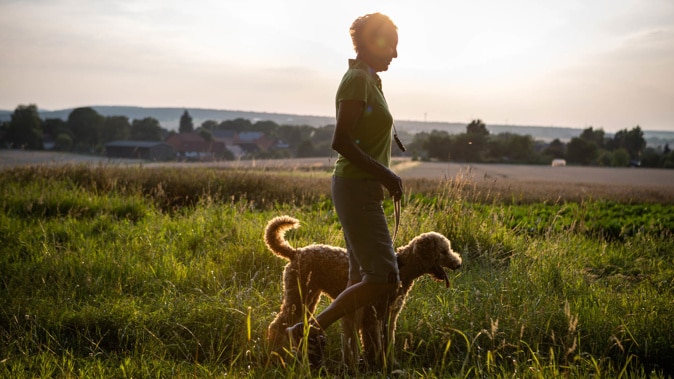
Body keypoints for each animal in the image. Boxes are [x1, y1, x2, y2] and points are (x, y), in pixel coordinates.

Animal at [264, 217, 462, 372]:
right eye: (443, 251)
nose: (458, 263)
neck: (400, 268)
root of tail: (295, 252)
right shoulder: (371, 317)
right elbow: (374, 344)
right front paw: (375, 366)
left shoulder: (390, 316)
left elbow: (388, 342)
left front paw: (392, 364)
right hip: (298, 297)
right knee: (277, 325)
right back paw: (274, 354)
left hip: (309, 296)